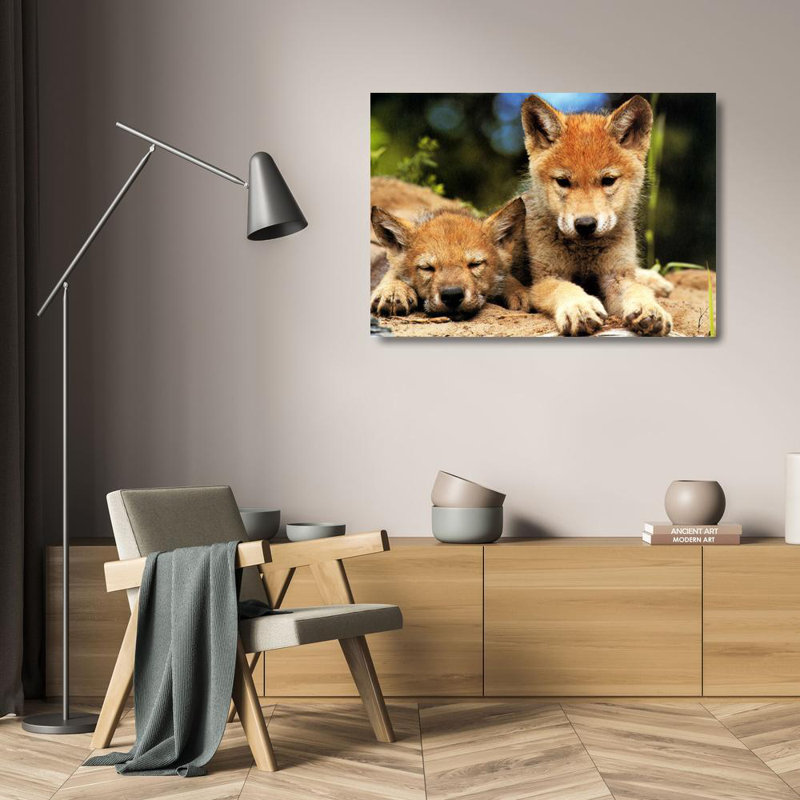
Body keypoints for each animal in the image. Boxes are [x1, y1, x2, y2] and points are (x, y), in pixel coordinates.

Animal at [521, 94, 674, 336]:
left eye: (608, 180)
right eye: (563, 181)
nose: (585, 224)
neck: (585, 252)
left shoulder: (616, 276)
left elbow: (637, 290)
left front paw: (650, 309)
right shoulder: (546, 278)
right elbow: (565, 288)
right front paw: (580, 308)